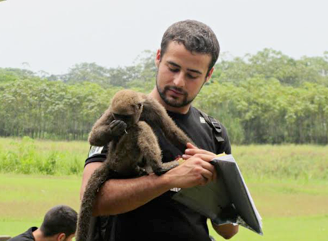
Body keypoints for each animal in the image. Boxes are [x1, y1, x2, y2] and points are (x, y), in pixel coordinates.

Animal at [77, 89, 193, 241]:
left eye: (125, 116)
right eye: (117, 115)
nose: (121, 121)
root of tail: (109, 162)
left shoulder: (152, 105)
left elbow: (170, 129)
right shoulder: (110, 111)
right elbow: (93, 137)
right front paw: (115, 129)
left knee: (141, 126)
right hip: (119, 159)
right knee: (140, 127)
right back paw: (158, 168)